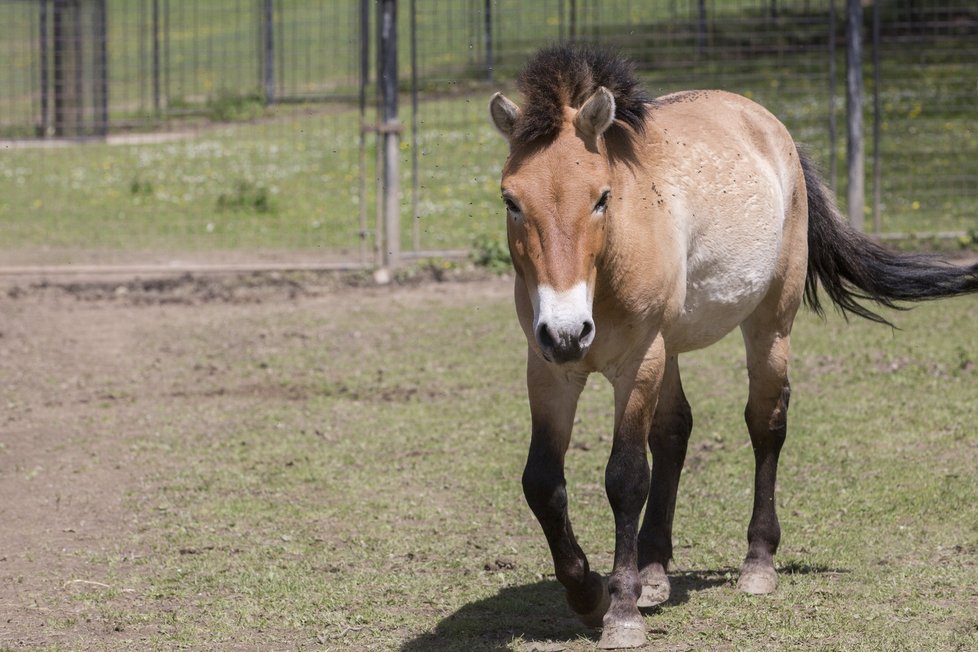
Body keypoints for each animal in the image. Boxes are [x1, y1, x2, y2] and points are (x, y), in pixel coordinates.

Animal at [488, 44, 976, 648]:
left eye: (602, 198)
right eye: (511, 200)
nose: (567, 331)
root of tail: (767, 123)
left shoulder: (637, 361)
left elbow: (625, 477)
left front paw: (619, 610)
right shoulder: (550, 369)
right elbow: (542, 482)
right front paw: (586, 593)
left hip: (768, 325)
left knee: (766, 424)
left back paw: (757, 564)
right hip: (669, 346)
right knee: (674, 433)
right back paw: (654, 572)